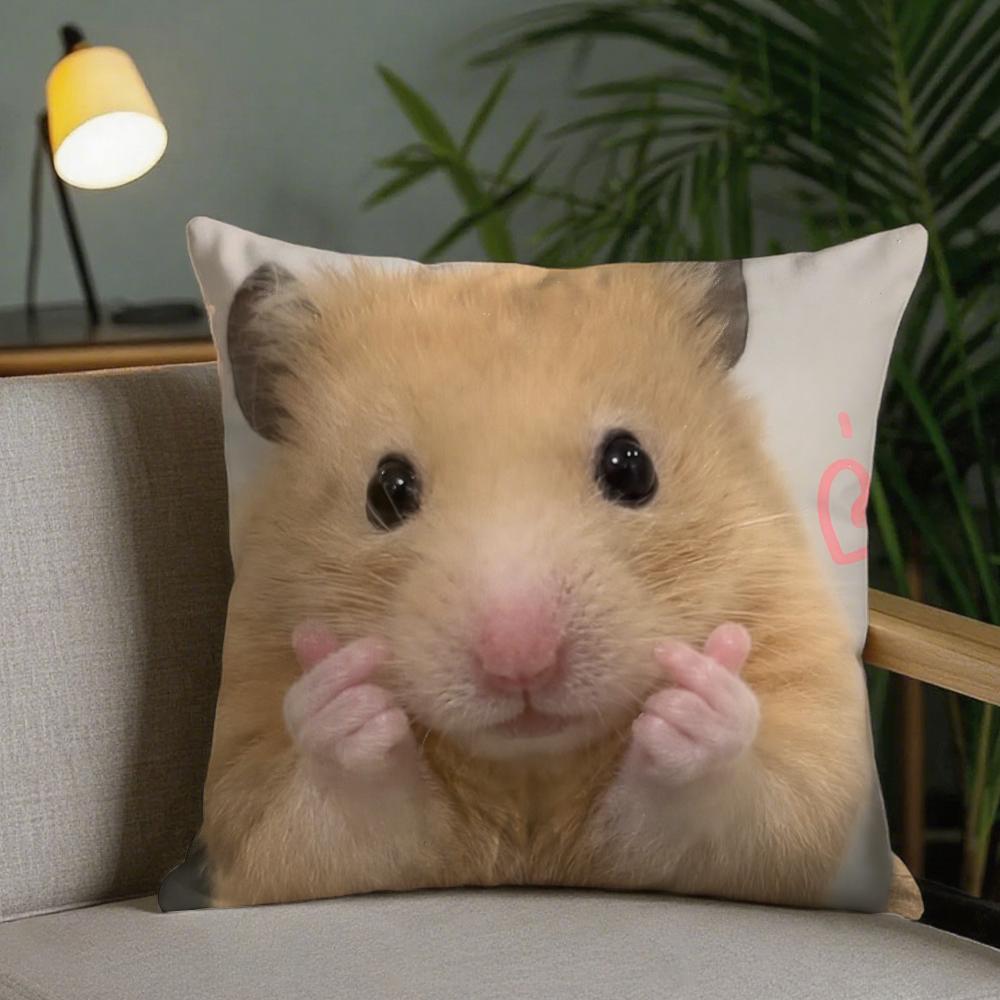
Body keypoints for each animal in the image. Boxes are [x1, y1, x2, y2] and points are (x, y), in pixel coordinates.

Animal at [200, 258, 875, 910]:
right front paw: (344, 695)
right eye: (386, 491)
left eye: (631, 467)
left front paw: (696, 693)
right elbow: (336, 813)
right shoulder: (259, 809)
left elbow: (737, 805)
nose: (520, 663)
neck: (530, 768)